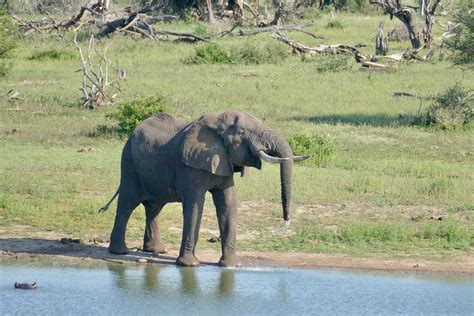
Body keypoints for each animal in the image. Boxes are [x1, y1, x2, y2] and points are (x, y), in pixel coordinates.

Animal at [100, 111, 308, 266]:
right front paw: (189, 264)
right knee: (127, 204)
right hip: (129, 162)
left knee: (154, 207)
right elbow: (195, 204)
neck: (216, 124)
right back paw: (120, 252)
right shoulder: (190, 165)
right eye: (241, 132)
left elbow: (228, 203)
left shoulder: (223, 161)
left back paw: (157, 250)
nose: (285, 222)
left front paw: (231, 265)